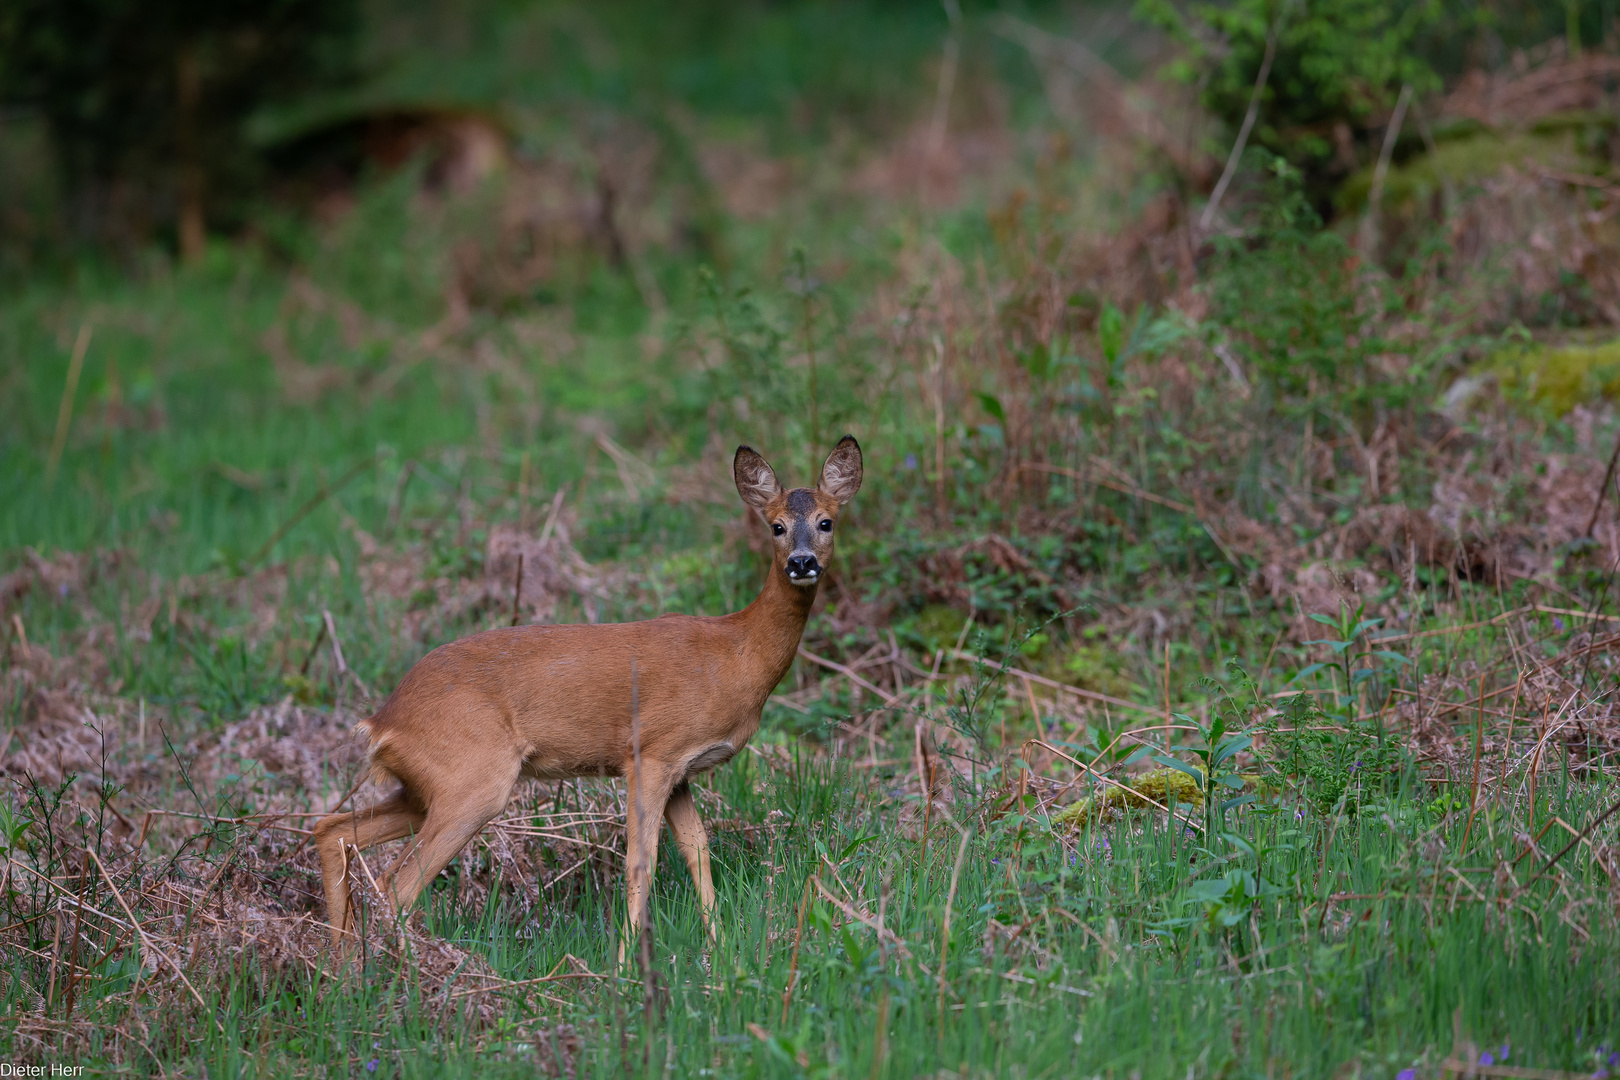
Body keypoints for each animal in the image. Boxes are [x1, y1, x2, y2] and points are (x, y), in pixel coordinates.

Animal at [307, 433, 855, 952]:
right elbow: (641, 861)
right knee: (395, 885)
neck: (737, 655)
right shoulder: (651, 752)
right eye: (777, 526)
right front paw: (627, 966)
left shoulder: (680, 771)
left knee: (331, 830)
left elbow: (698, 853)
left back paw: (341, 968)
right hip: (472, 780)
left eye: (826, 522)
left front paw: (721, 953)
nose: (802, 562)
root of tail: (382, 721)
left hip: (429, 783)